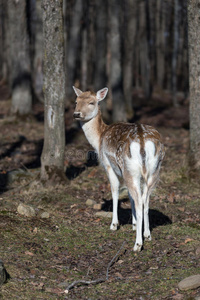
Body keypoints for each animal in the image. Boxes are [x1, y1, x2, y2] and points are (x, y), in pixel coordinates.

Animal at [72, 86, 165, 251]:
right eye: (76, 101)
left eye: (91, 102)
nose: (77, 114)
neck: (99, 138)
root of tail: (142, 141)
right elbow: (129, 195)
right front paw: (134, 224)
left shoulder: (108, 164)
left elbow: (115, 191)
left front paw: (114, 224)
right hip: (153, 170)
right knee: (145, 199)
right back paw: (147, 235)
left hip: (130, 169)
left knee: (140, 200)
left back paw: (137, 244)